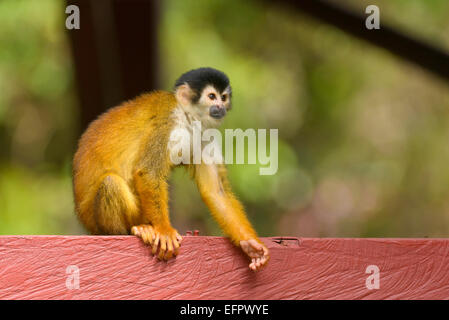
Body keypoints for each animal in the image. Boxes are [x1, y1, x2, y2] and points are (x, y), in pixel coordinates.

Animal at [73, 67, 268, 270]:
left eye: (223, 97)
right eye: (211, 96)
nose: (221, 107)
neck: (187, 118)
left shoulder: (203, 134)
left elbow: (215, 191)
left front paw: (250, 245)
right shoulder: (166, 122)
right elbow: (149, 172)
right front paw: (165, 231)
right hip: (98, 221)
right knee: (111, 183)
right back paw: (131, 231)